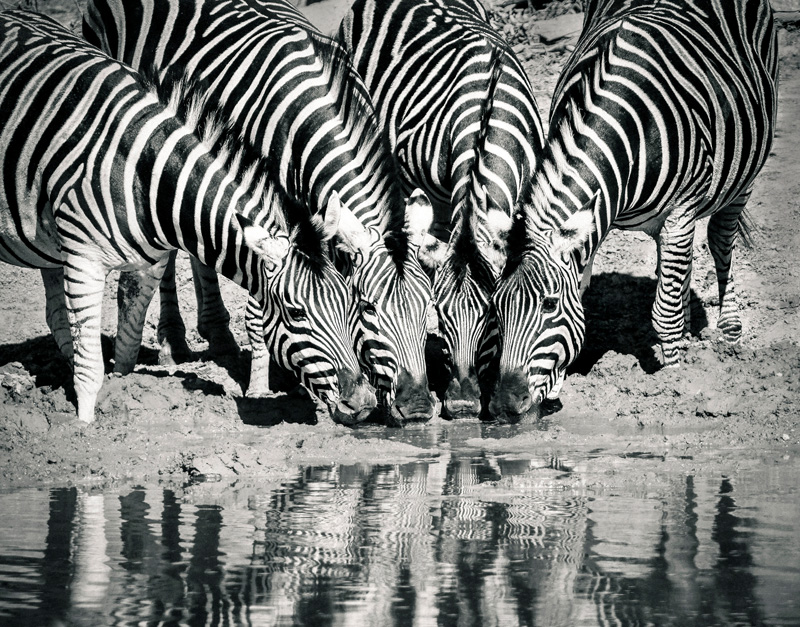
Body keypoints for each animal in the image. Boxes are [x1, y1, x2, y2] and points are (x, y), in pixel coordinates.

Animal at [0, 10, 377, 425]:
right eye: (296, 313)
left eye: (351, 304)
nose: (363, 403)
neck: (143, 173)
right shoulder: (84, 261)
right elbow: (90, 362)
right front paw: (84, 425)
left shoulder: (147, 262)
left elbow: (128, 336)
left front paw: (123, 393)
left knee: (55, 313)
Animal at [83, 0, 438, 427]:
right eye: (367, 308)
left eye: (428, 308)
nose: (418, 409)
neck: (307, 123)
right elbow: (258, 302)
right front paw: (260, 384)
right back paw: (173, 339)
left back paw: (217, 333)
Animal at [480, 0, 778, 423]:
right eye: (497, 307)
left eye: (549, 305)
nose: (504, 407)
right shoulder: (595, 220)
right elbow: (598, 298)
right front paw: (560, 384)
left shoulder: (680, 209)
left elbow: (665, 311)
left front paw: (677, 380)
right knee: (678, 268)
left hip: (744, 173)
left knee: (721, 240)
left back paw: (729, 331)